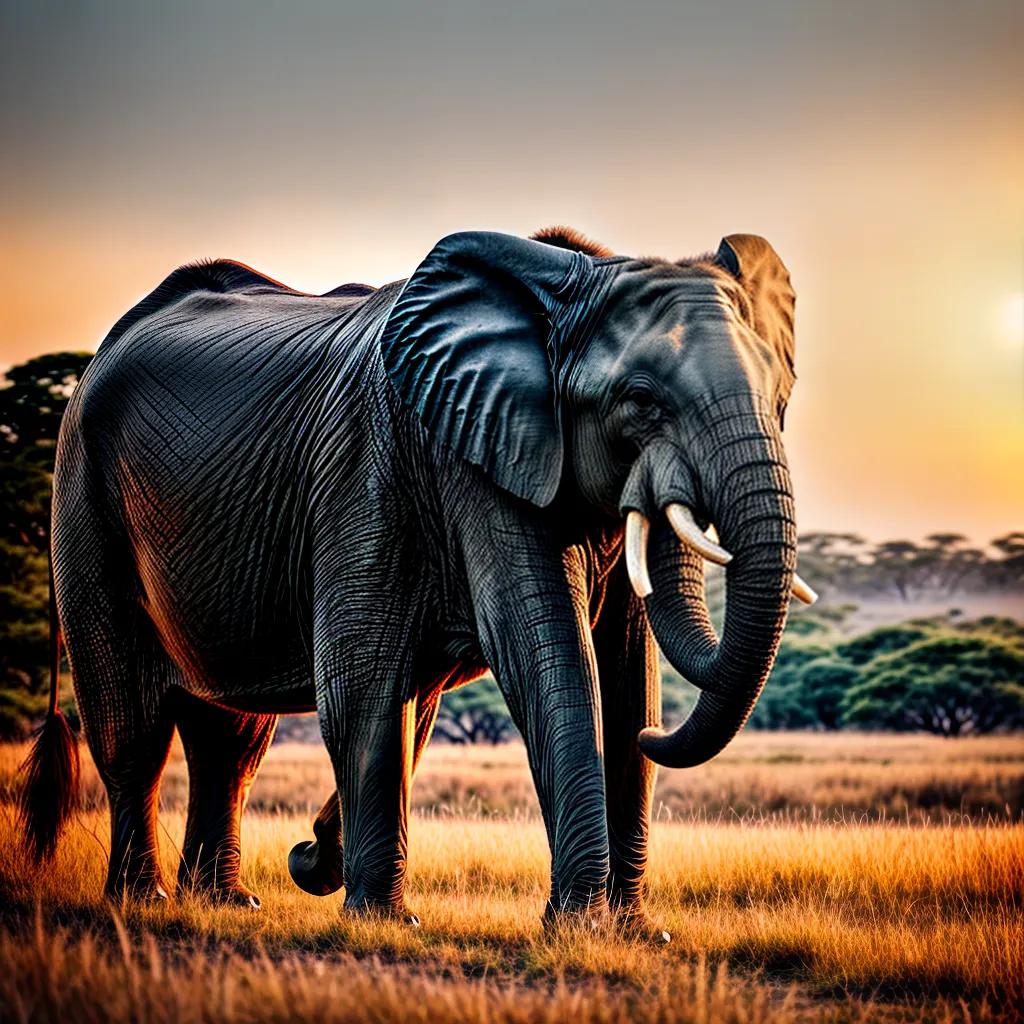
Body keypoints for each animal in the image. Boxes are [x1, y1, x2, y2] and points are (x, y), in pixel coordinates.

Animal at [21, 225, 815, 935]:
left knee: (231, 738)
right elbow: (502, 660)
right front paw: (419, 923)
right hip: (83, 497)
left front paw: (636, 932)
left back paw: (226, 904)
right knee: (134, 724)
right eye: (640, 399)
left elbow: (627, 675)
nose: (304, 853)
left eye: (781, 397)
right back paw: (142, 902)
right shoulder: (406, 466)